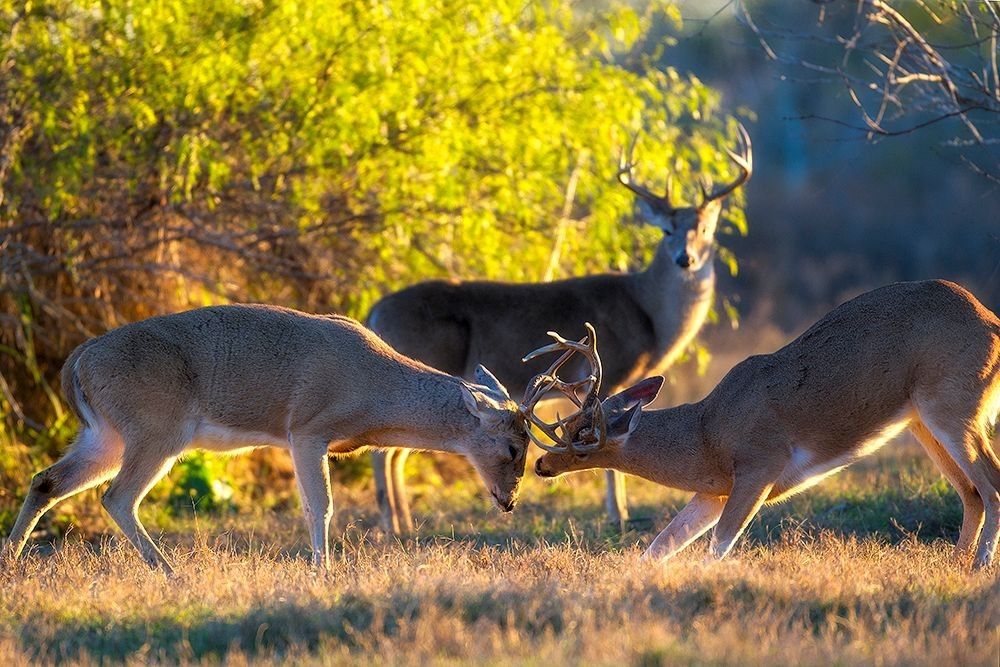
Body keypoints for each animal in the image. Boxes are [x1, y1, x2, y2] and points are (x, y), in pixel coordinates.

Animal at [1, 305, 529, 572]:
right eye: (512, 448)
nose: (508, 501)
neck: (372, 390)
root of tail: (77, 363)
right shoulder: (307, 428)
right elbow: (321, 506)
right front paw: (324, 573)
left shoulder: (301, 439)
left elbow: (311, 504)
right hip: (156, 428)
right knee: (117, 496)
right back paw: (170, 570)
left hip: (106, 434)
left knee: (46, 480)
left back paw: (11, 560)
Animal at [366, 126, 752, 535]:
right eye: (666, 230)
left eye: (706, 229)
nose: (685, 259)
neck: (646, 311)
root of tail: (375, 309)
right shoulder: (608, 371)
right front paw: (618, 515)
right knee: (386, 451)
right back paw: (393, 524)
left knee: (394, 450)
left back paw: (402, 524)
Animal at [526, 280, 1000, 570]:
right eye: (568, 425)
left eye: (583, 436)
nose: (541, 465)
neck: (705, 435)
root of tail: (992, 323)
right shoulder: (714, 489)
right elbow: (661, 544)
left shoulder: (761, 463)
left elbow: (718, 544)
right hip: (922, 420)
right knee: (972, 493)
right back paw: (957, 564)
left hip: (952, 404)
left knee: (990, 484)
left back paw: (978, 568)